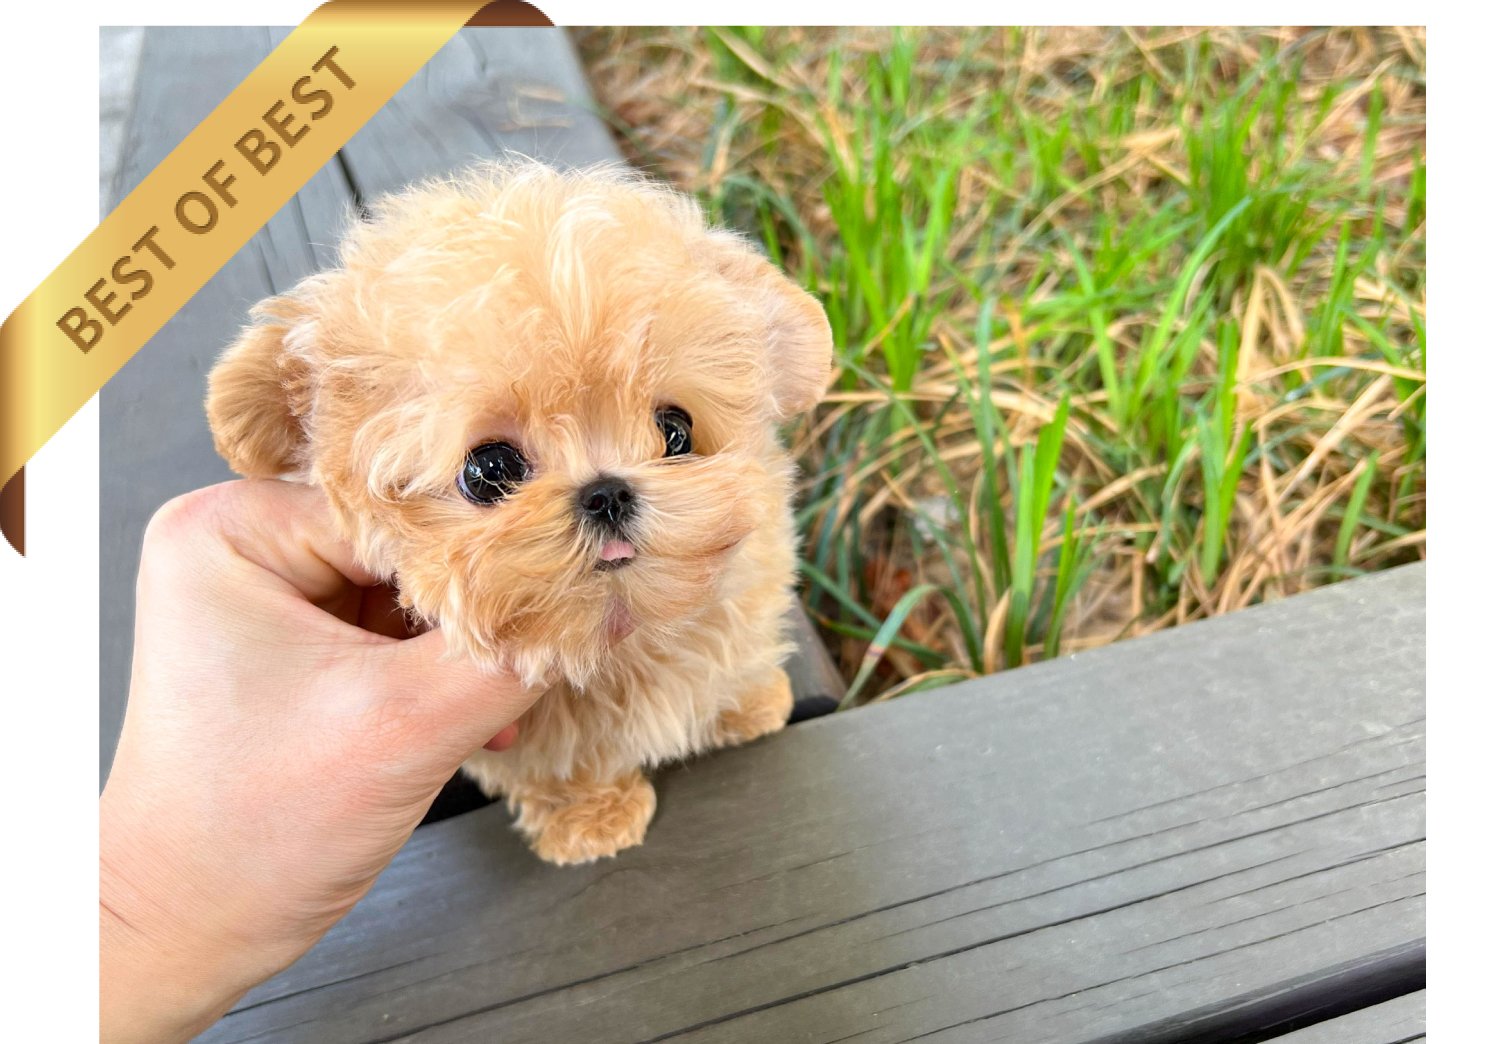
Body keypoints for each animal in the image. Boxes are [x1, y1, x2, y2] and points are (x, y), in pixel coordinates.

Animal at [206, 161, 832, 864]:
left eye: (676, 431)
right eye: (489, 471)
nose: (606, 492)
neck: (629, 640)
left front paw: (749, 705)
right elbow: (558, 767)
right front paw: (590, 817)